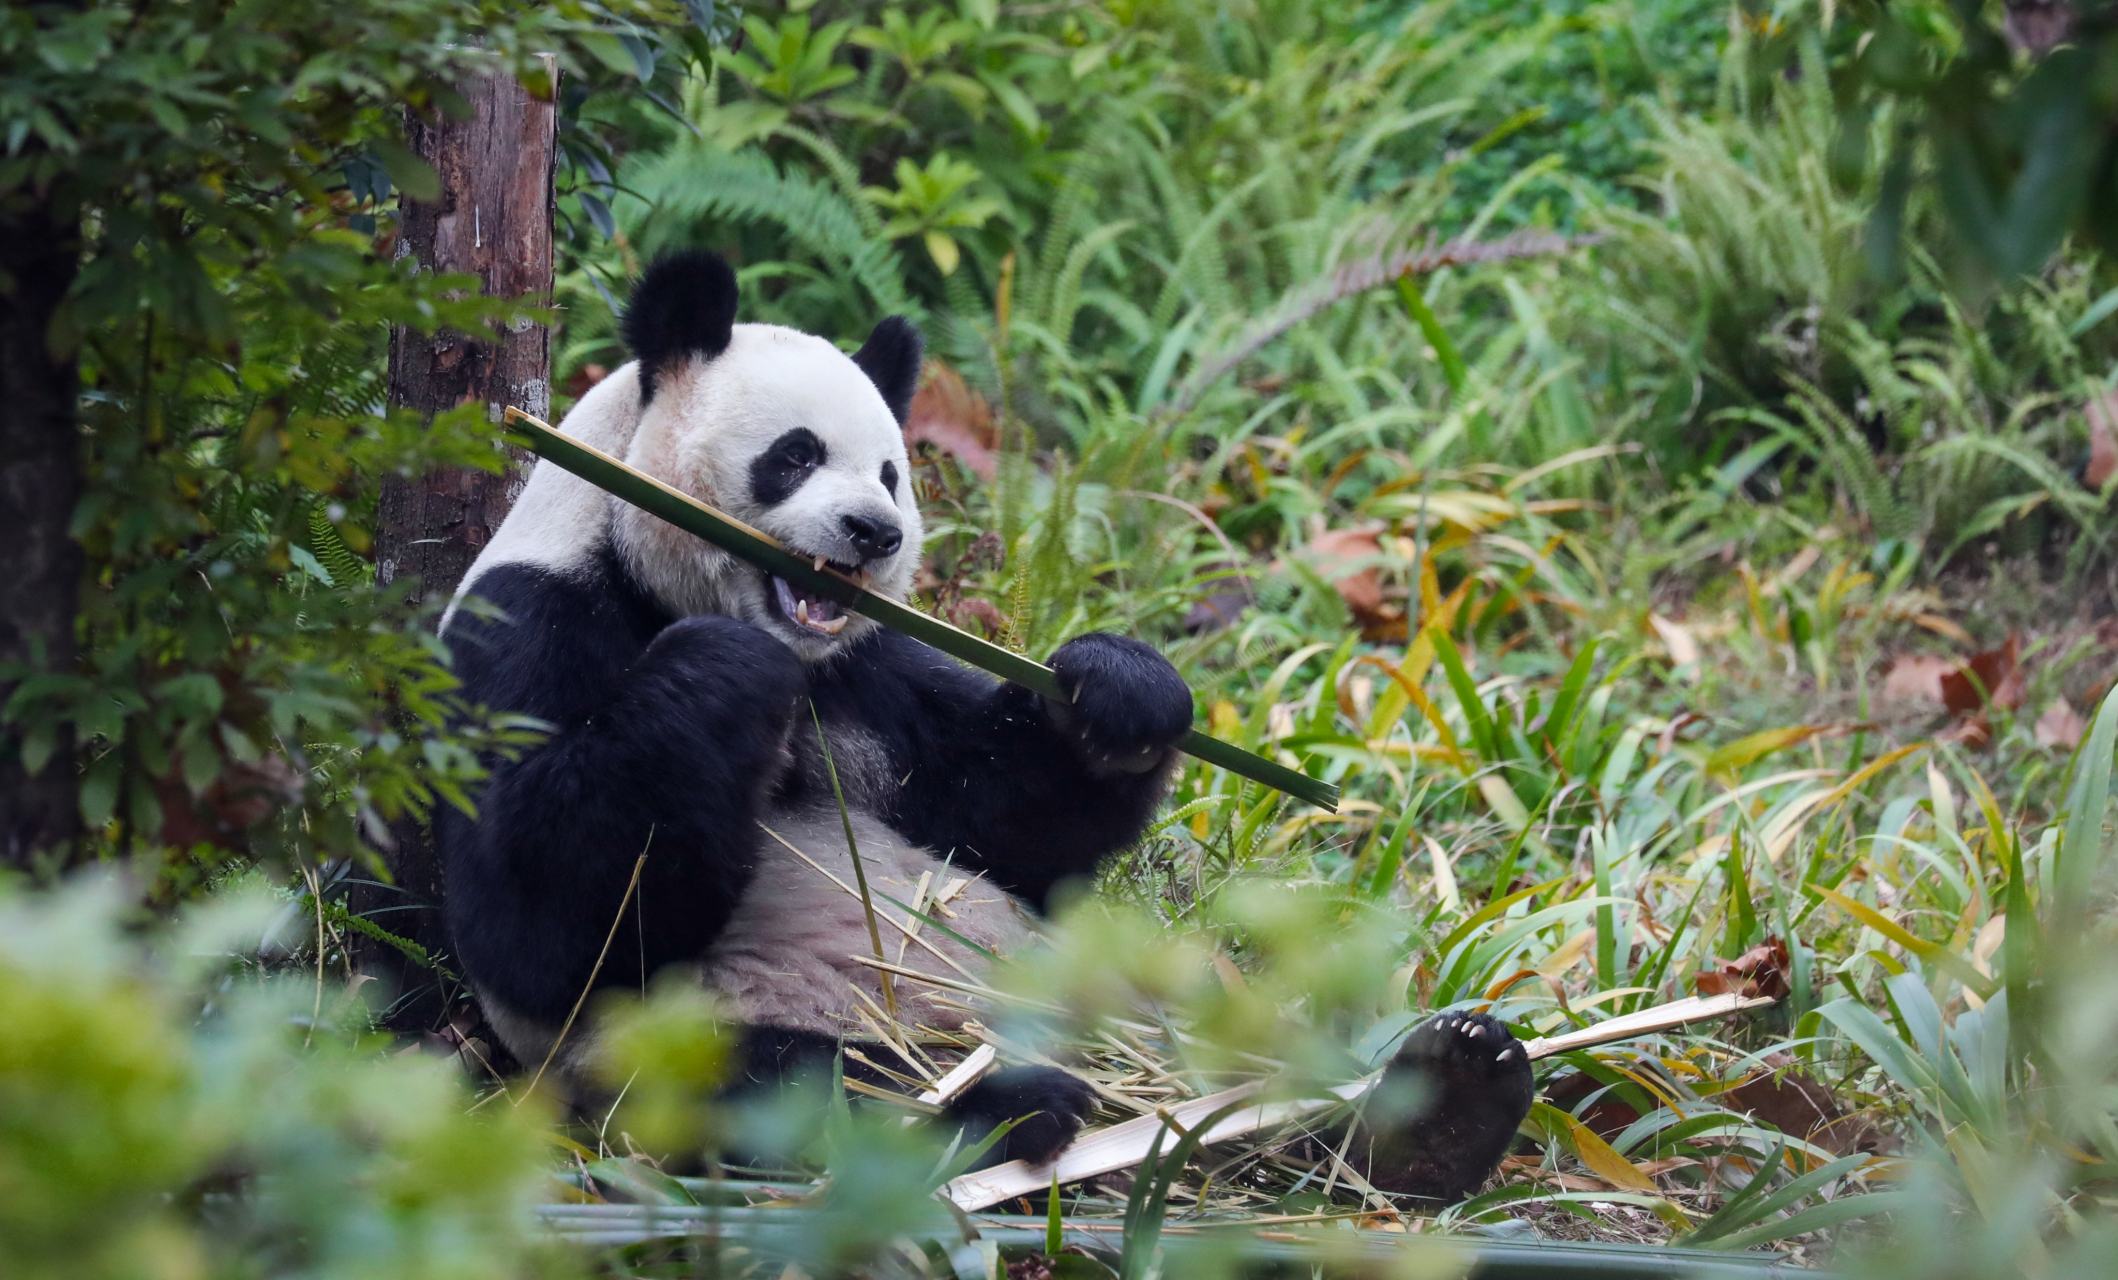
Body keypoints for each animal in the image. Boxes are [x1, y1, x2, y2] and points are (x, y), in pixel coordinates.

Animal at [438, 252, 1533, 1203]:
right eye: (794, 456)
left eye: (890, 472)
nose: (874, 534)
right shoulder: (532, 621)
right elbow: (542, 920)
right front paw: (720, 672)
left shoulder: (876, 676)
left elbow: (1004, 820)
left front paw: (1120, 694)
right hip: (701, 1030)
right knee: (782, 1089)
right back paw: (1008, 1109)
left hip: (1129, 972)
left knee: (1255, 1016)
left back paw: (1439, 1102)